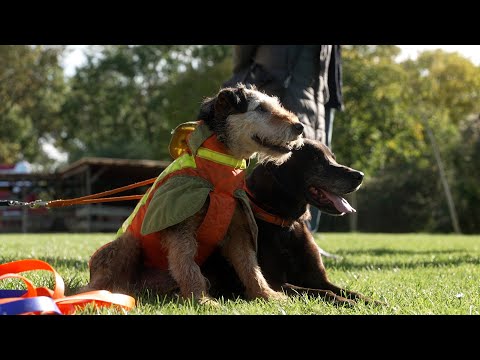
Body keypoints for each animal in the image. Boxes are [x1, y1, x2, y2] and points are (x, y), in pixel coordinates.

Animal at [79, 84, 304, 304]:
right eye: (261, 108)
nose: (299, 126)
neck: (219, 176)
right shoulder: (181, 228)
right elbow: (187, 265)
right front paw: (201, 299)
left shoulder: (237, 231)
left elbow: (250, 267)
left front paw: (267, 295)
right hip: (127, 243)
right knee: (100, 283)